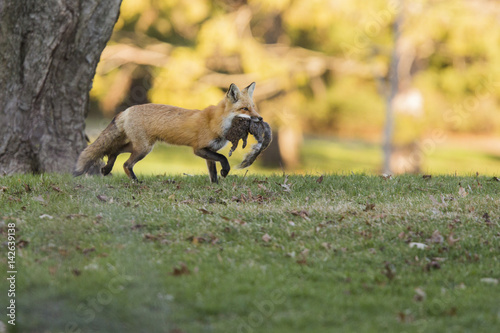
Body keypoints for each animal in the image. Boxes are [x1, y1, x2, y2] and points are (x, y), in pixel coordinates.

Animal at [75, 82, 262, 183]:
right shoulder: (199, 149)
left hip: (141, 146)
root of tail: (127, 110)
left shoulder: (210, 151)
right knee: (126, 164)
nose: (260, 118)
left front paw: (216, 186)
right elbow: (223, 159)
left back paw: (107, 168)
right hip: (143, 148)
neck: (217, 121)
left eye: (253, 107)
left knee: (114, 150)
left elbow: (213, 173)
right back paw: (136, 182)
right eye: (245, 109)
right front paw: (226, 171)